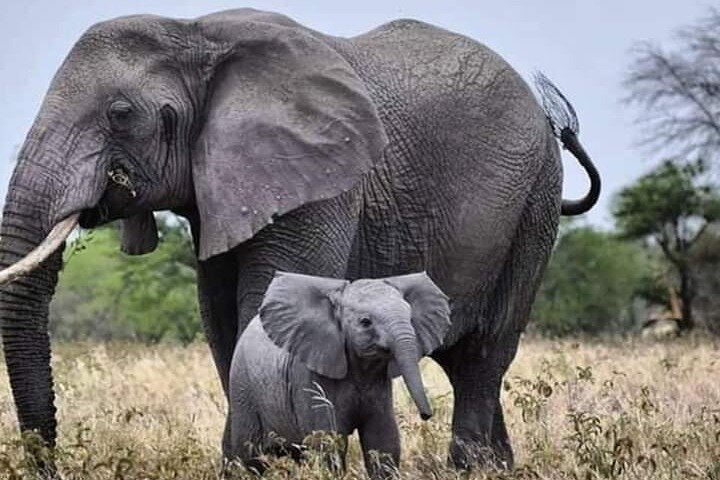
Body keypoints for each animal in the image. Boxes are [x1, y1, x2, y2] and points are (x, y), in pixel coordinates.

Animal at [228, 270, 450, 476]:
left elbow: (383, 441)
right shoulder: (309, 378)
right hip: (243, 388)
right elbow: (328, 442)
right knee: (251, 456)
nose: (426, 415)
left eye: (410, 317)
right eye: (365, 322)